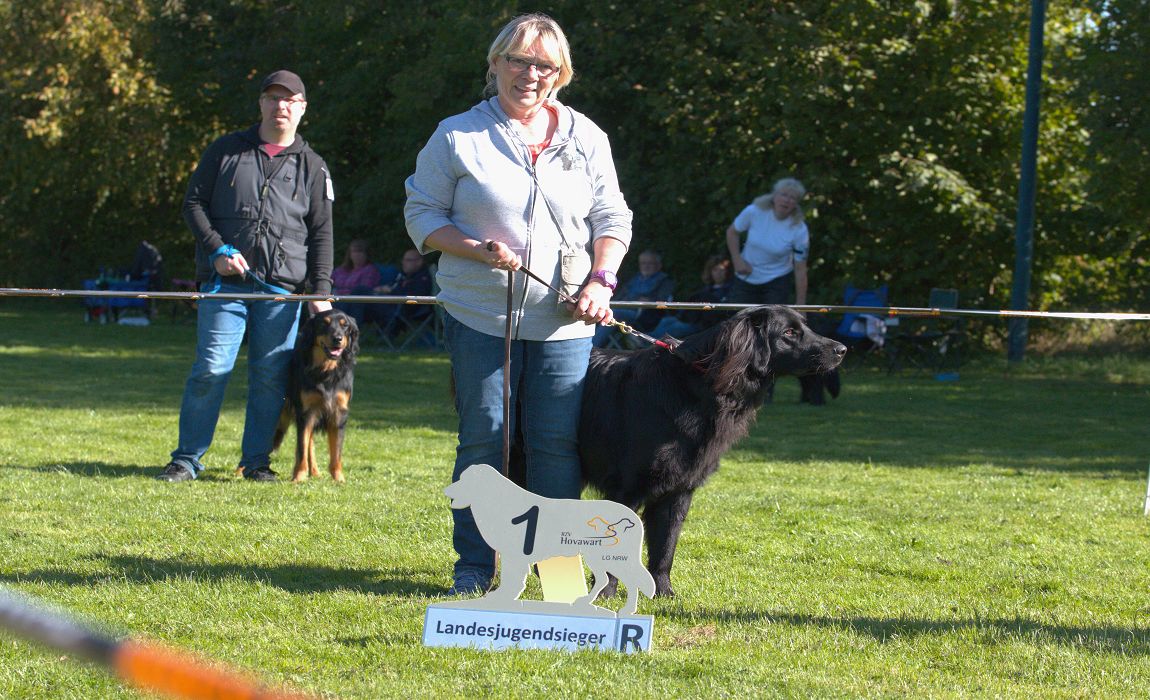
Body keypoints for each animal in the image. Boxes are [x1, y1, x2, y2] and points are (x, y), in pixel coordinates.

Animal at [271, 310, 356, 480]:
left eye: (345, 326)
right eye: (324, 323)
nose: (338, 339)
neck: (326, 371)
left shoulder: (339, 412)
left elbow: (336, 452)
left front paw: (339, 479)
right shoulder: (306, 412)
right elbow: (302, 447)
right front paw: (298, 477)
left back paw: (315, 472)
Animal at [579, 303, 841, 593]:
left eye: (804, 327)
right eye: (789, 332)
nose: (842, 349)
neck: (699, 384)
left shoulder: (680, 489)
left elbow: (665, 546)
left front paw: (665, 593)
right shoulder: (628, 487)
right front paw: (605, 594)